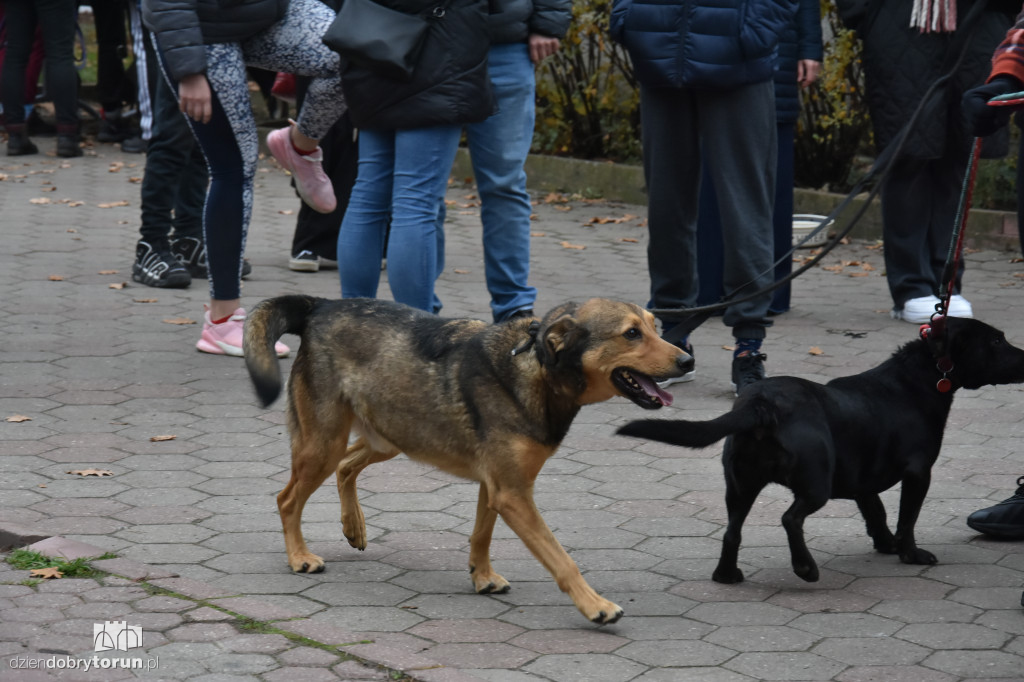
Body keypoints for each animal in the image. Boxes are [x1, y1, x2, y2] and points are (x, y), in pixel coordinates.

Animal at [243, 294, 692, 622]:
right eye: (631, 334)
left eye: (655, 326)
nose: (688, 360)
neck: (537, 368)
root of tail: (321, 305)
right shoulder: (512, 492)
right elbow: (562, 560)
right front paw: (595, 605)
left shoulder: (496, 487)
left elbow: (481, 534)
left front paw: (482, 576)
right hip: (325, 441)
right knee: (288, 498)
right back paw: (299, 557)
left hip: (389, 435)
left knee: (345, 467)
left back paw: (353, 526)